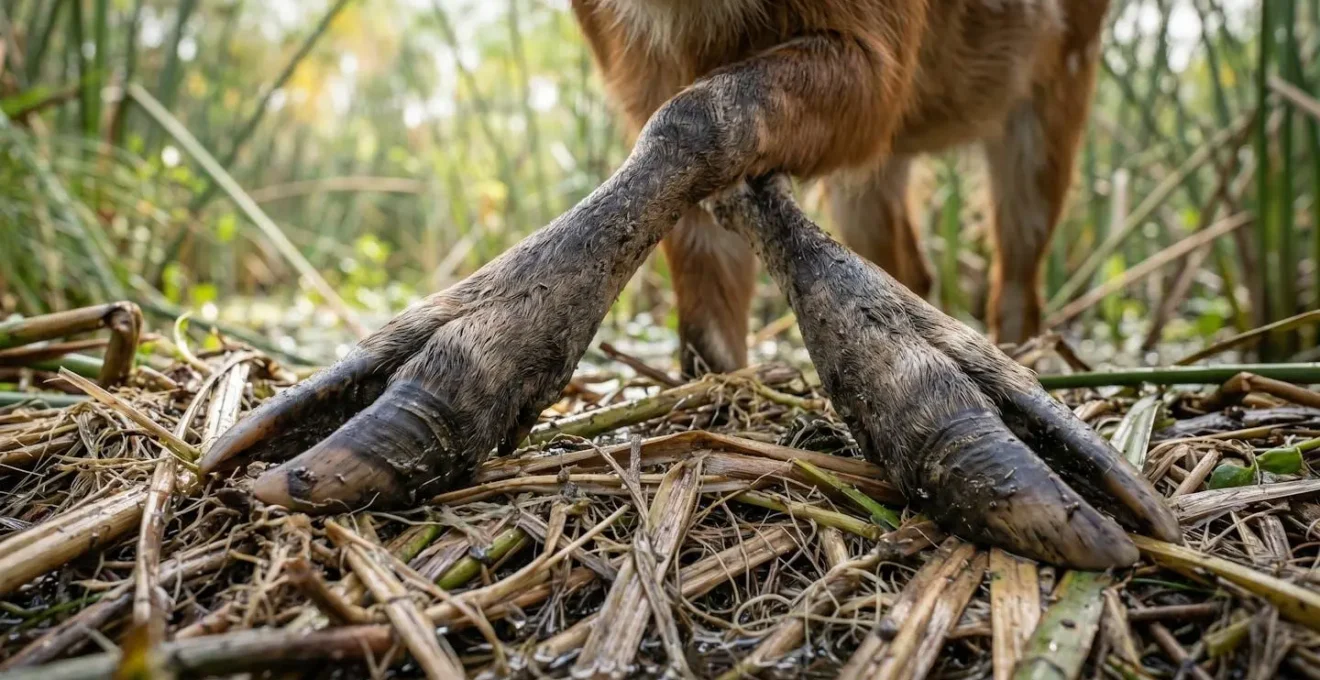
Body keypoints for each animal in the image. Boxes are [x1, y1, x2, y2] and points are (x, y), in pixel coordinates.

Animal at [201, 0, 1180, 570]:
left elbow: (703, 119)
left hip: (1062, 70)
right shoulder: (626, 51)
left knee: (1018, 262)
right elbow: (702, 244)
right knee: (906, 248)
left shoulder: (878, 40)